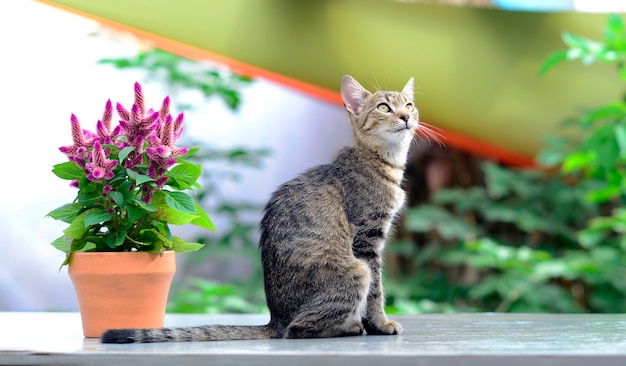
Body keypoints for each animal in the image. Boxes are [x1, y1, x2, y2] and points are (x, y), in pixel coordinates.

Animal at [100, 74, 416, 344]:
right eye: (384, 107)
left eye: (409, 105)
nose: (406, 117)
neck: (383, 161)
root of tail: (275, 319)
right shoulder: (367, 239)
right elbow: (377, 291)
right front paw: (381, 324)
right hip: (355, 269)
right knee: (298, 329)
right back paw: (350, 327)